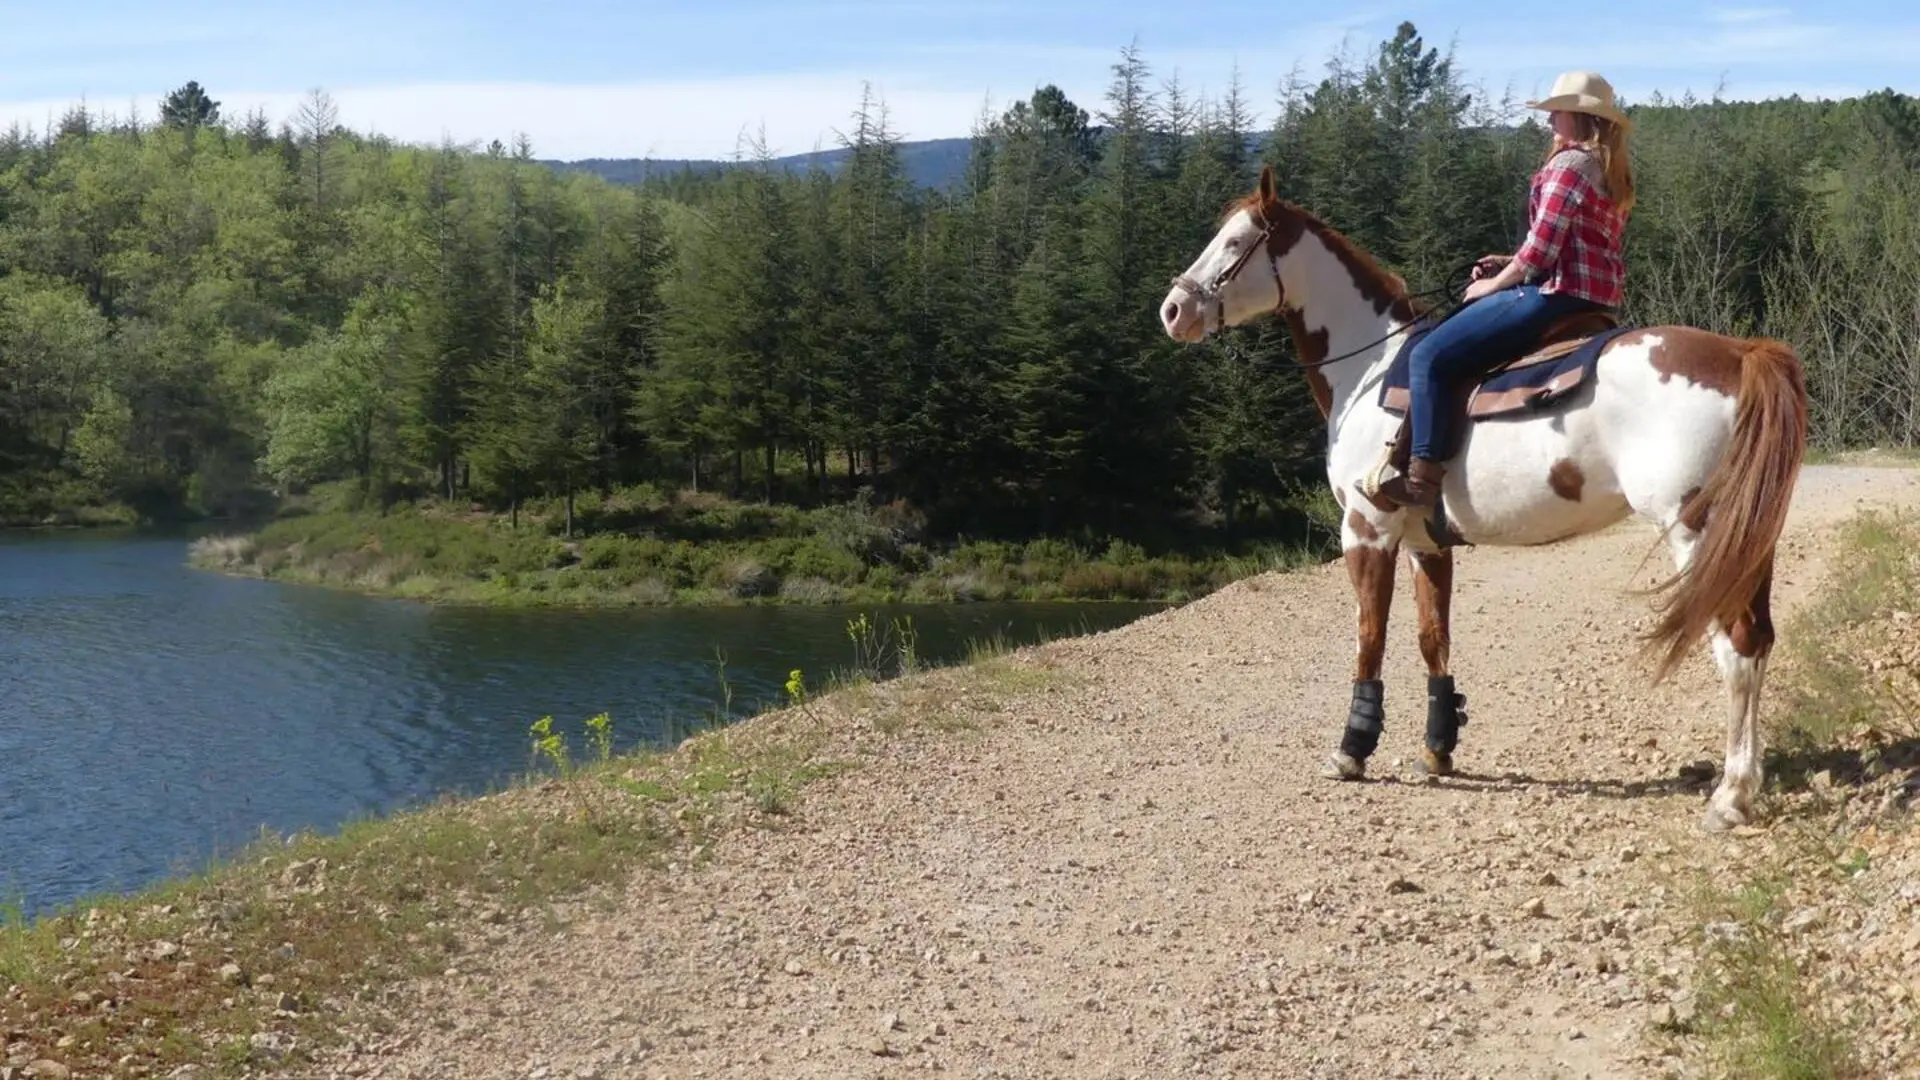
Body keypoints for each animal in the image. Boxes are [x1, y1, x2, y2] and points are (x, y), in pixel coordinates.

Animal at [1158, 164, 1807, 832]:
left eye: (1236, 243)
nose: (1174, 310)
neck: (1370, 369)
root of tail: (1741, 354)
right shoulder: (1426, 543)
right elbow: (1432, 640)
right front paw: (1438, 748)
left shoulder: (1366, 530)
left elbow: (1370, 638)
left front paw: (1351, 750)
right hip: (1748, 540)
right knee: (1758, 642)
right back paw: (1746, 781)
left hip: (1697, 531)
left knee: (1735, 647)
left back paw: (1730, 796)